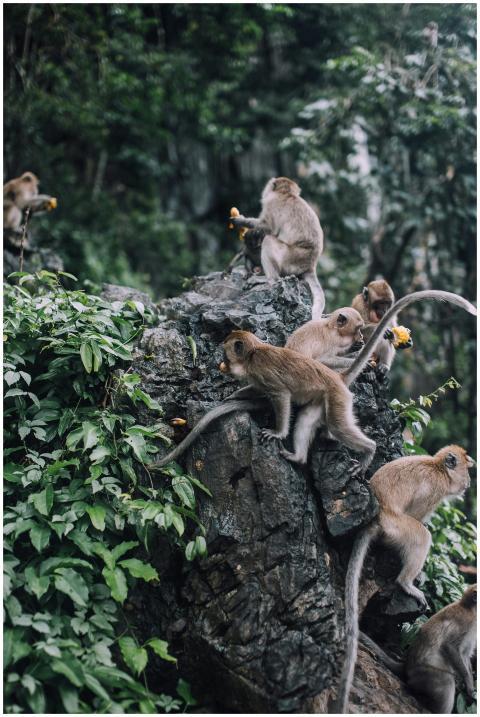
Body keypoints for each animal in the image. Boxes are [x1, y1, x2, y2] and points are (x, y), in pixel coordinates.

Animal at [151, 290, 476, 470]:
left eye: (227, 352)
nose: (221, 363)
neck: (254, 356)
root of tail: (339, 379)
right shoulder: (257, 376)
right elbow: (255, 390)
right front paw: (233, 397)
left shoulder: (266, 374)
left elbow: (281, 397)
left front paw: (277, 432)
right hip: (322, 400)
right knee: (307, 420)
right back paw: (298, 458)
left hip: (338, 399)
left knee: (338, 425)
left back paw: (367, 451)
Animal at [229, 177, 325, 319]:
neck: (287, 194)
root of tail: (310, 266)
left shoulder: (272, 204)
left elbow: (267, 227)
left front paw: (242, 220)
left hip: (289, 260)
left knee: (268, 241)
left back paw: (268, 280)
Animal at [358, 584, 477, 714]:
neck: (470, 608)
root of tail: (406, 666)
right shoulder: (465, 621)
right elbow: (449, 646)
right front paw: (468, 684)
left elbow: (465, 654)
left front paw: (470, 686)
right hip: (424, 674)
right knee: (446, 681)